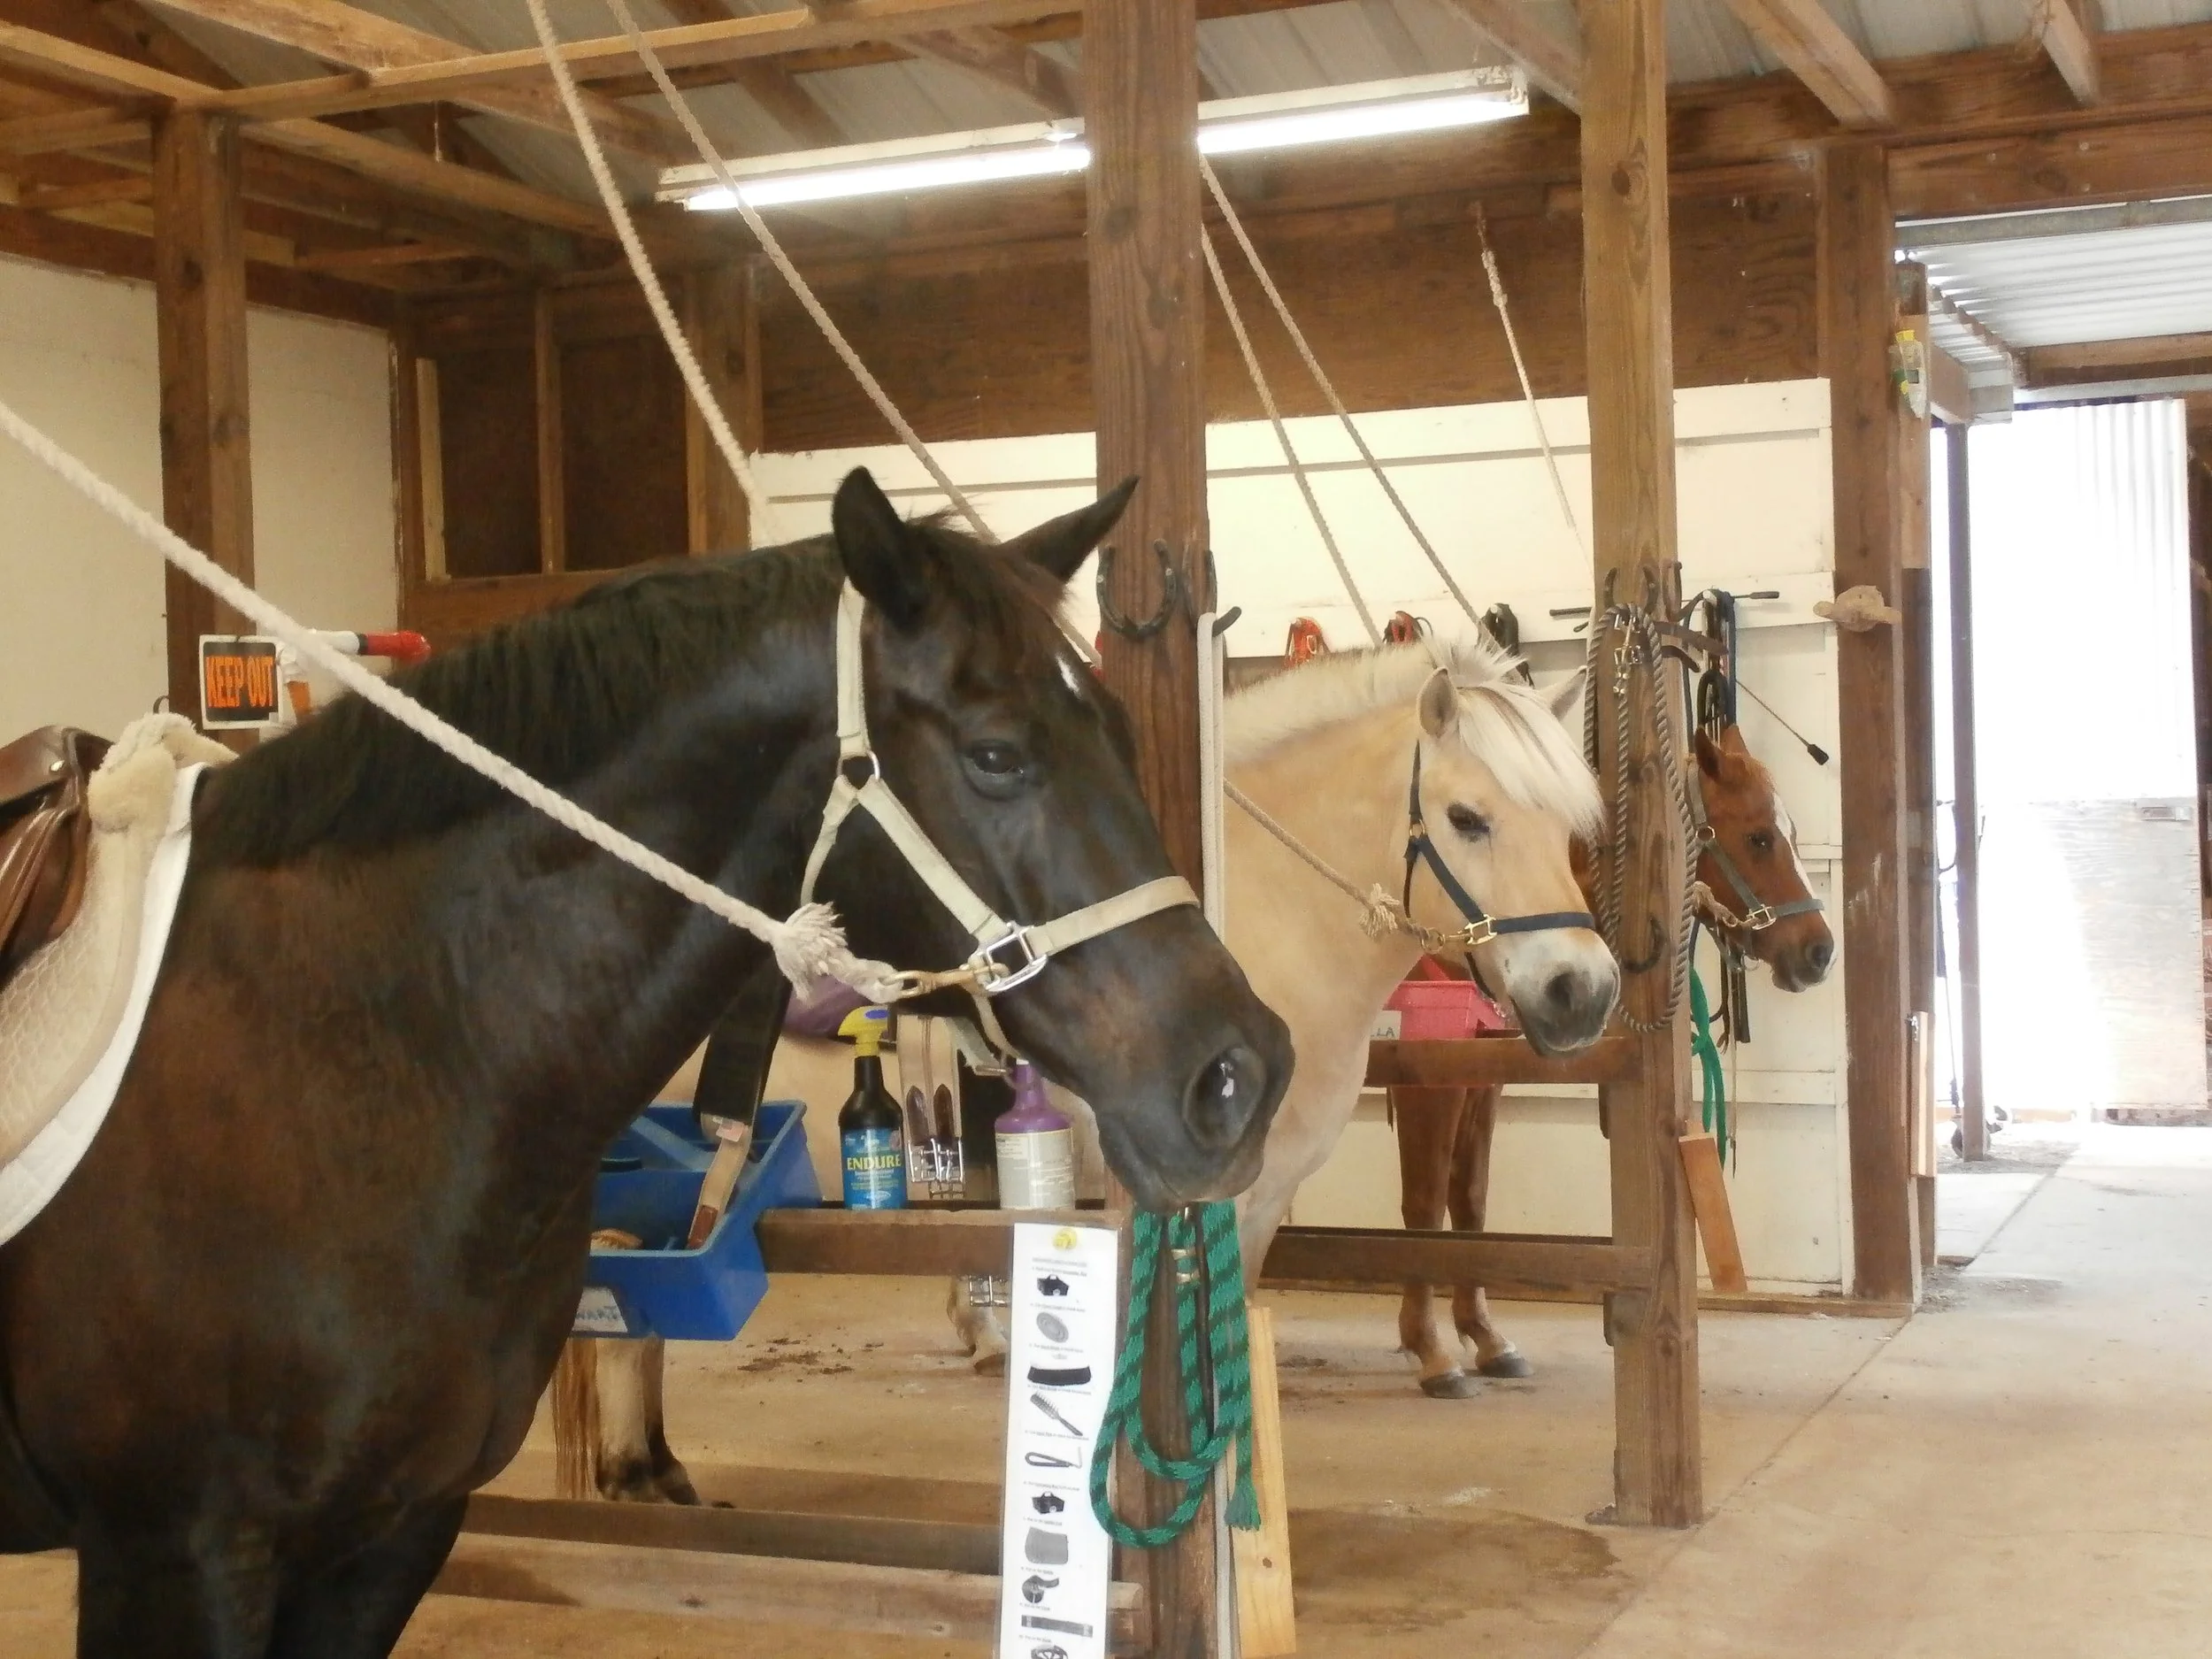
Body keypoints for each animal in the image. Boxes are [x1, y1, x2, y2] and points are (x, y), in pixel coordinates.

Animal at [0, 466, 1295, 1657]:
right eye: (993, 753)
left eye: (1120, 732)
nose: (1240, 1074)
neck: (353, 1045)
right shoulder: (178, 1554)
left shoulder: (389, 1535)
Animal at [1391, 719, 1836, 1396]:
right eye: (1759, 836)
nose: (1819, 951)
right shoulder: (1427, 1074)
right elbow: (1422, 1204)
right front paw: (1432, 1351)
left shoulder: (1483, 1076)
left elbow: (1469, 1197)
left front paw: (1487, 1338)